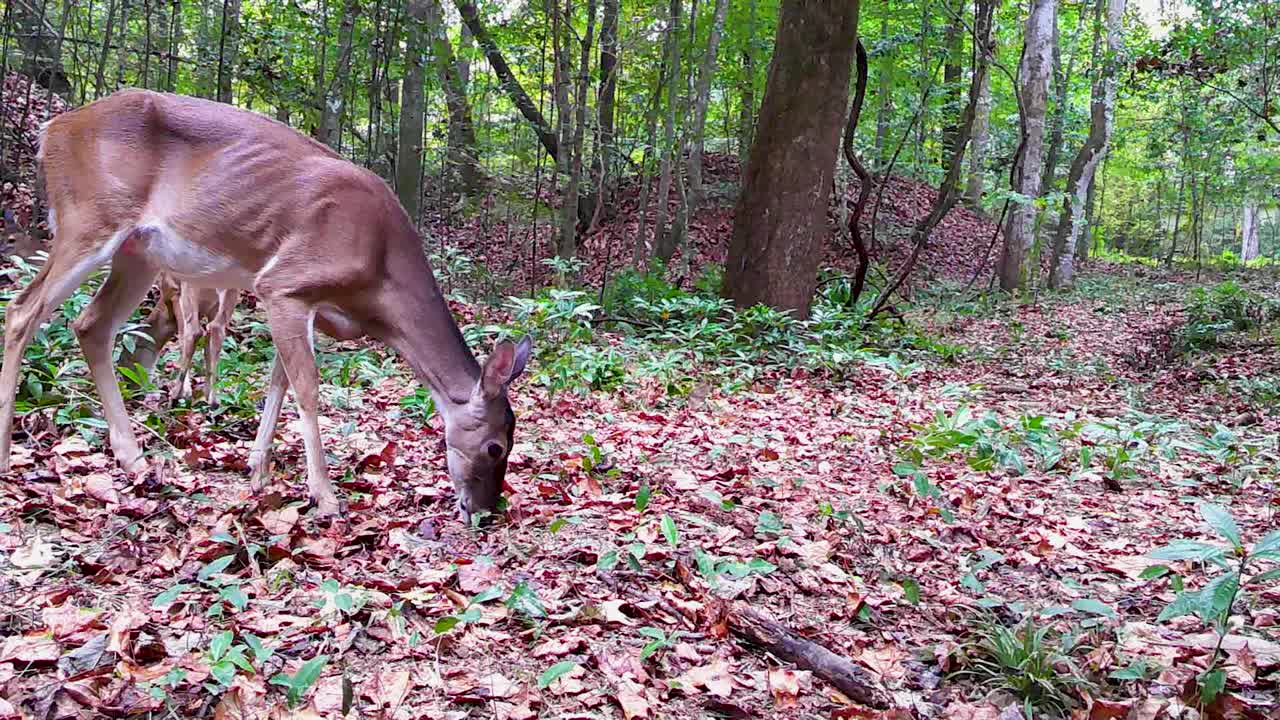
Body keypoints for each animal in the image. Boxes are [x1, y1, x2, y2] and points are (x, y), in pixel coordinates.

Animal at [0, 88, 529, 515]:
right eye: (495, 448)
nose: (486, 511)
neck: (379, 279)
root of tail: (52, 130)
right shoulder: (285, 281)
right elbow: (308, 387)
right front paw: (324, 495)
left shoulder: (309, 306)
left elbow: (279, 381)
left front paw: (258, 469)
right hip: (89, 218)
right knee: (22, 310)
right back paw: (8, 452)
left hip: (138, 252)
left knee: (91, 324)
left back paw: (134, 458)